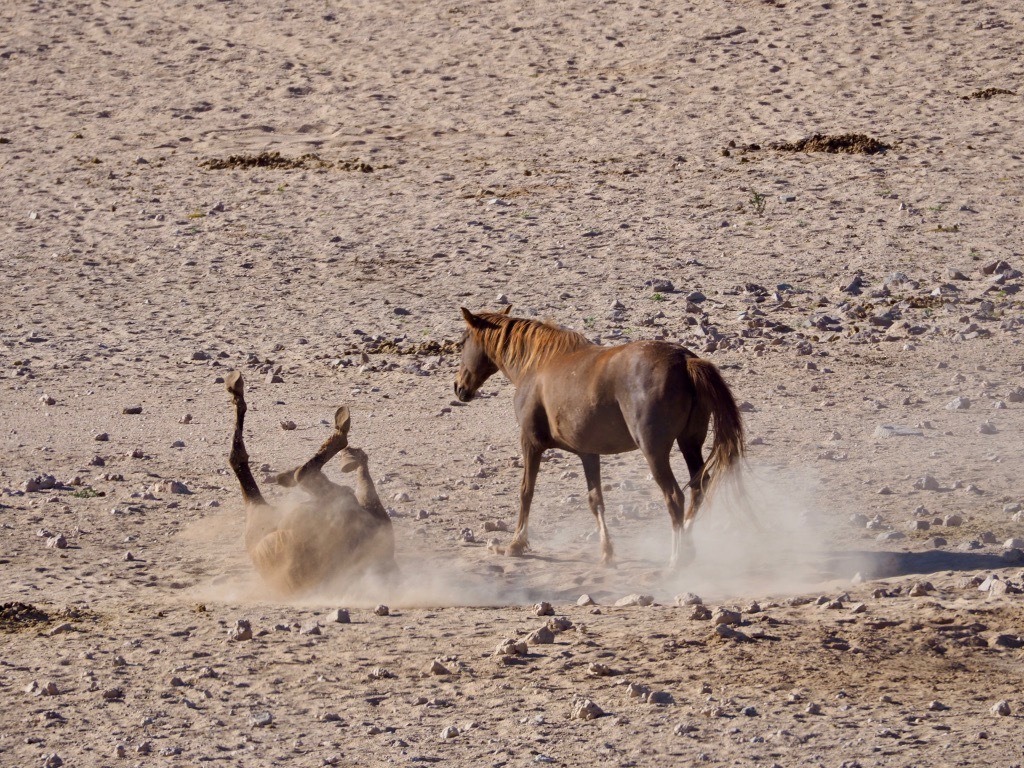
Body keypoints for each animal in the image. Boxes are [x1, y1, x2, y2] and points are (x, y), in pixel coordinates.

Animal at [456, 309, 745, 573]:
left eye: (462, 342)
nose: (459, 388)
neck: (537, 365)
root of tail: (684, 360)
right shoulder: (588, 453)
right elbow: (595, 500)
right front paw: (607, 553)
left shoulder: (531, 443)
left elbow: (526, 492)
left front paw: (515, 544)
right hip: (689, 444)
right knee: (698, 487)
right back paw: (688, 549)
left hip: (655, 452)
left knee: (675, 497)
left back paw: (676, 560)